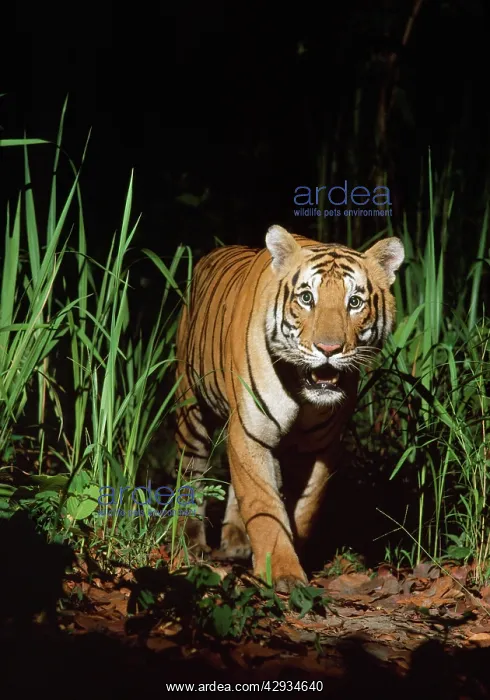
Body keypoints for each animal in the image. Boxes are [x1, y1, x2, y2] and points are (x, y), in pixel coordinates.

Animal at [174, 225, 404, 592]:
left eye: (354, 302)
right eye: (307, 298)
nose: (328, 349)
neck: (303, 393)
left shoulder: (320, 446)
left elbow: (305, 507)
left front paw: (292, 551)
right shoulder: (250, 432)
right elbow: (264, 505)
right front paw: (282, 571)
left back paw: (237, 541)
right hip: (190, 407)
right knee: (191, 471)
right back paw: (192, 541)